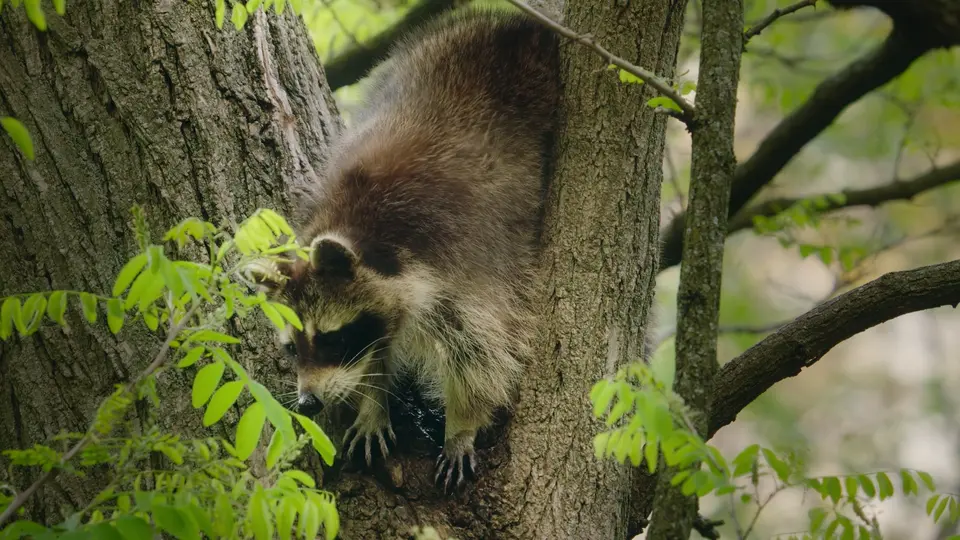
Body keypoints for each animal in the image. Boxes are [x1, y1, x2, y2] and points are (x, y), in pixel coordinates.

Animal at [244, 8, 564, 492]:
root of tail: (513, 26)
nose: (309, 403)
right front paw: (372, 401)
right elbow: (377, 351)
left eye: (332, 338)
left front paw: (462, 424)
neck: (357, 225)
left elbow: (486, 351)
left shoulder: (469, 260)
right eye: (290, 347)